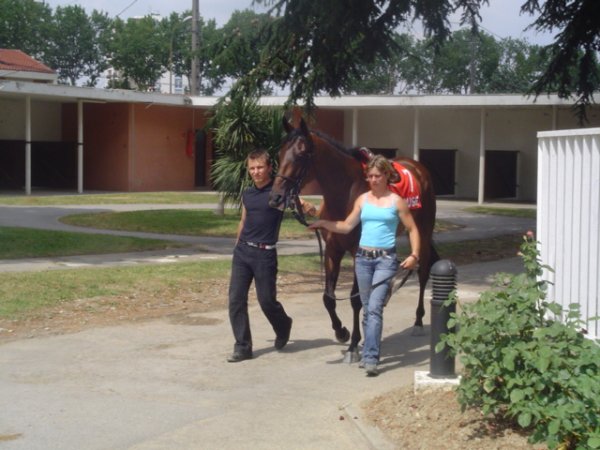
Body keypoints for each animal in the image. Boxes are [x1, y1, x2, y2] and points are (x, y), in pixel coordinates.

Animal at [270, 118, 438, 362]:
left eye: (301, 154)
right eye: (280, 153)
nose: (276, 197)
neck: (346, 194)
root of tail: (418, 167)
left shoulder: (358, 252)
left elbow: (355, 299)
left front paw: (354, 346)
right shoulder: (333, 250)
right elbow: (328, 298)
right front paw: (342, 332)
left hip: (423, 234)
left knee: (423, 272)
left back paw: (417, 321)